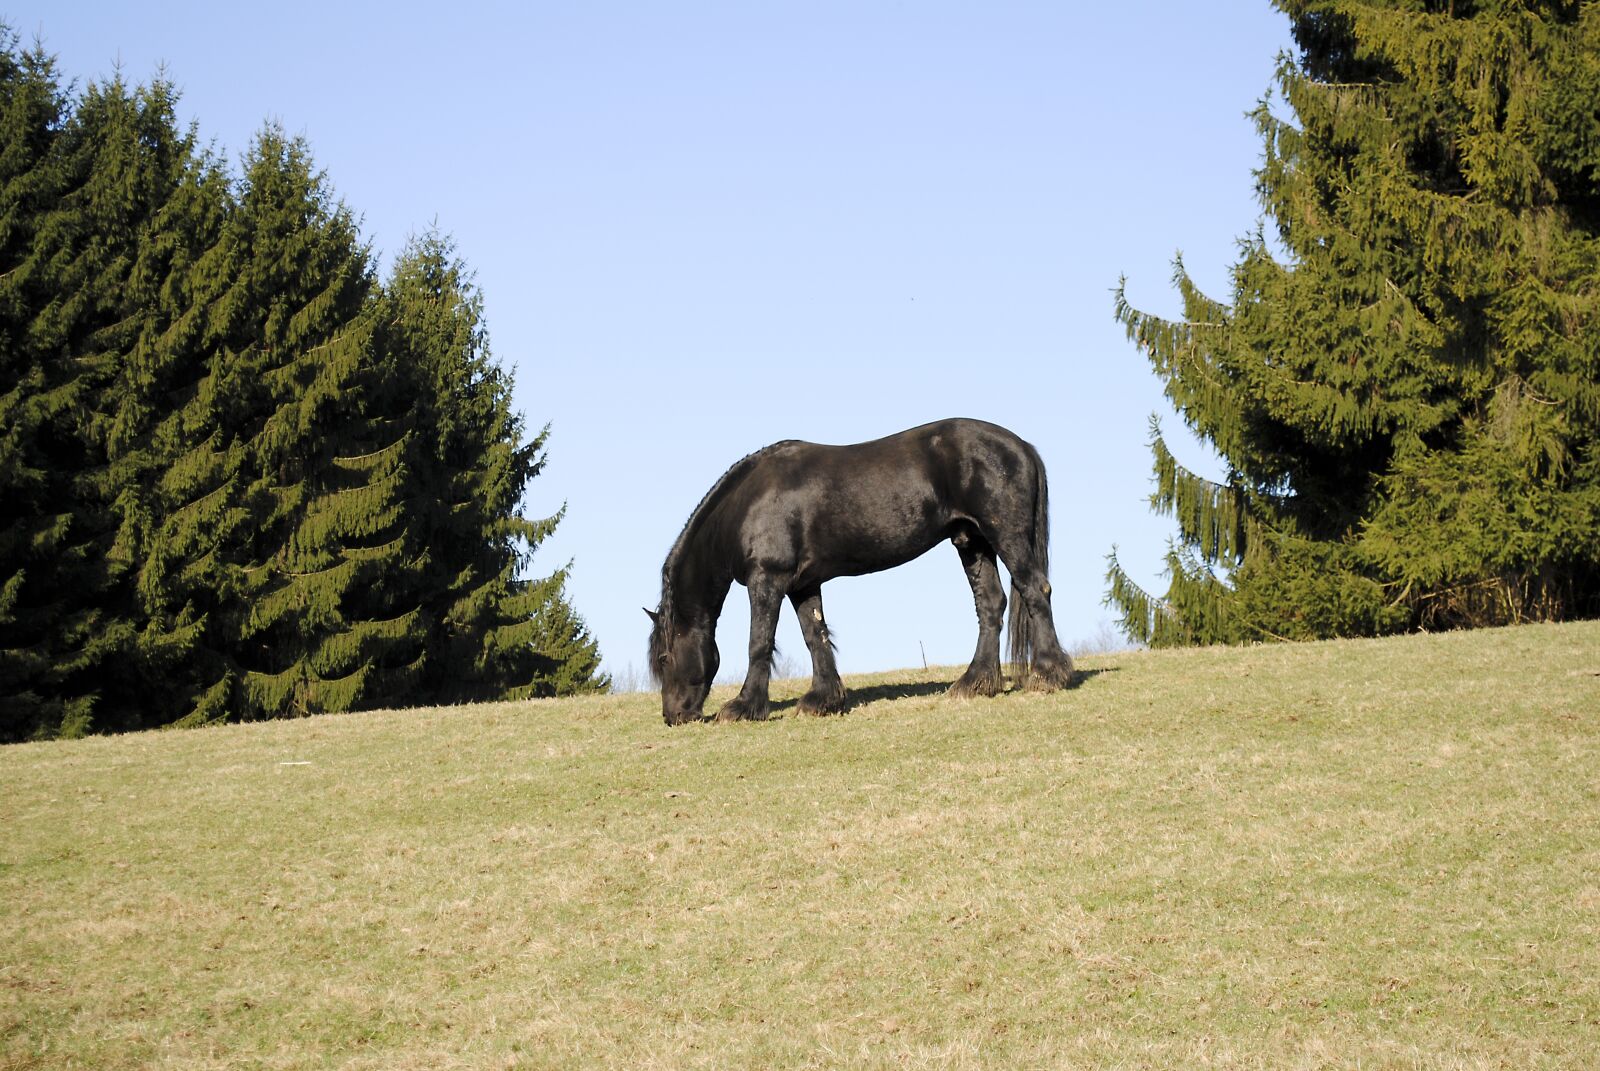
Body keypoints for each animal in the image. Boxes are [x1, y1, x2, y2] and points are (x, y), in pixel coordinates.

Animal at [645, 418, 1075, 725]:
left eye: (664, 659)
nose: (673, 716)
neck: (748, 505)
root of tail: (1021, 446)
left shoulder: (767, 580)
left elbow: (759, 643)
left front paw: (744, 706)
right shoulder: (803, 584)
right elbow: (815, 635)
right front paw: (822, 699)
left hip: (1005, 535)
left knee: (1034, 590)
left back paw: (1048, 675)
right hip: (972, 542)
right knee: (990, 605)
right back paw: (975, 683)